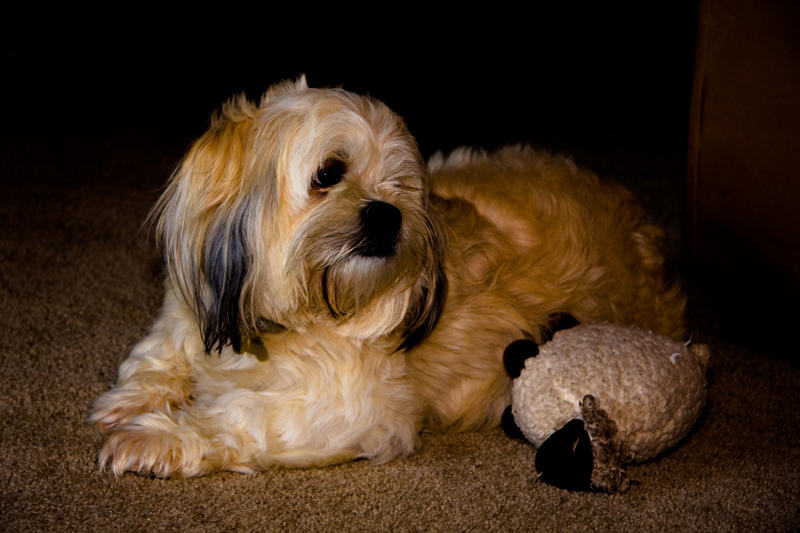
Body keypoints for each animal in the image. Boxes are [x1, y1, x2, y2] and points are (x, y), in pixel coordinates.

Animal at [89, 74, 688, 474]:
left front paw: (155, 437)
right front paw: (132, 402)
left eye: (401, 187)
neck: (290, 317)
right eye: (328, 174)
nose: (387, 213)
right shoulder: (184, 315)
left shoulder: (346, 411)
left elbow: (237, 415)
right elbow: (155, 358)